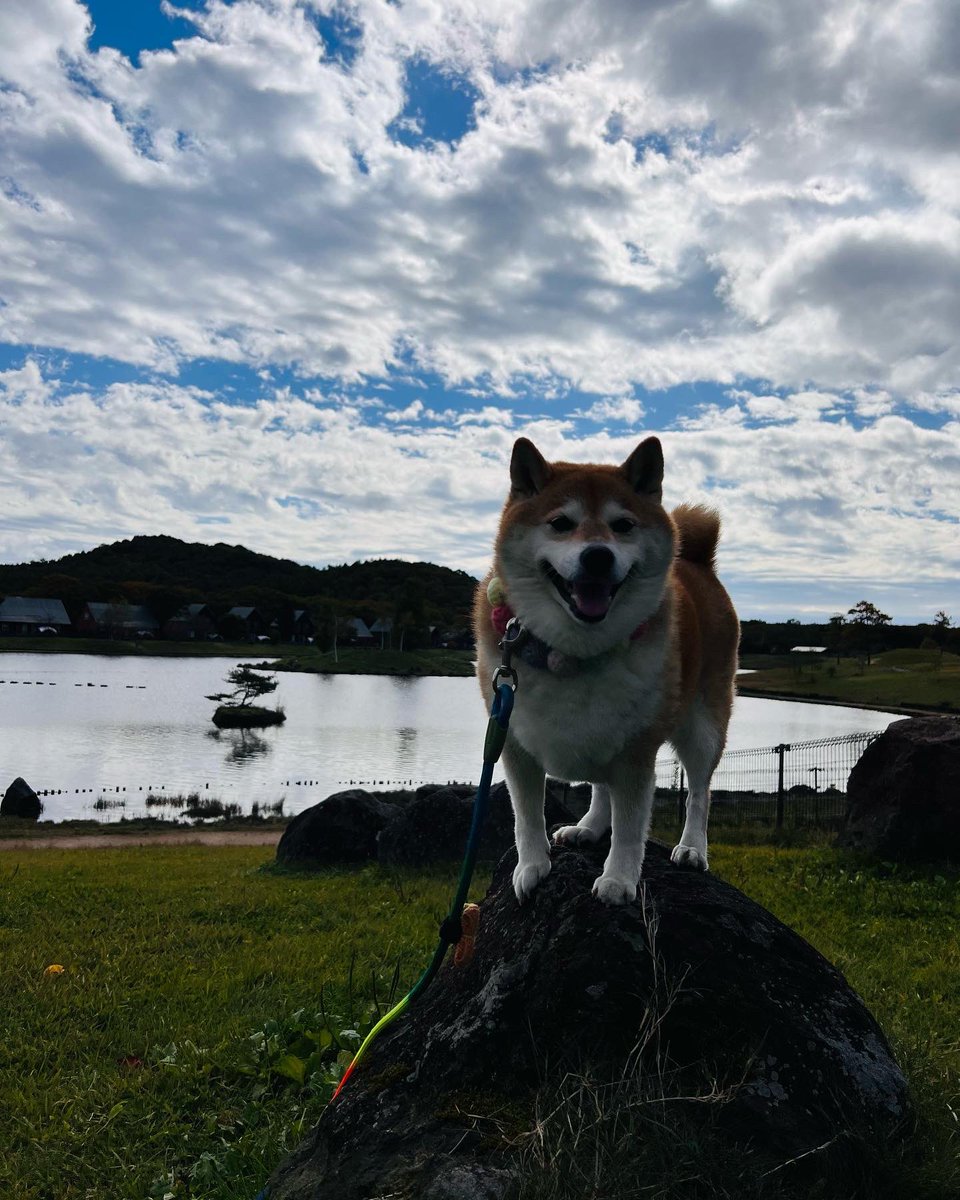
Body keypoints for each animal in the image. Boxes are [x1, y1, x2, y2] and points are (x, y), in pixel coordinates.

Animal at [474, 436, 739, 905]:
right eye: (561, 523)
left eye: (623, 525)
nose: (597, 556)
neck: (572, 650)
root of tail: (698, 563)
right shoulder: (513, 742)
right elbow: (527, 816)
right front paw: (531, 867)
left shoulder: (637, 751)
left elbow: (631, 827)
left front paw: (618, 879)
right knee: (601, 787)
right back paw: (589, 827)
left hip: (702, 725)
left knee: (699, 792)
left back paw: (692, 847)